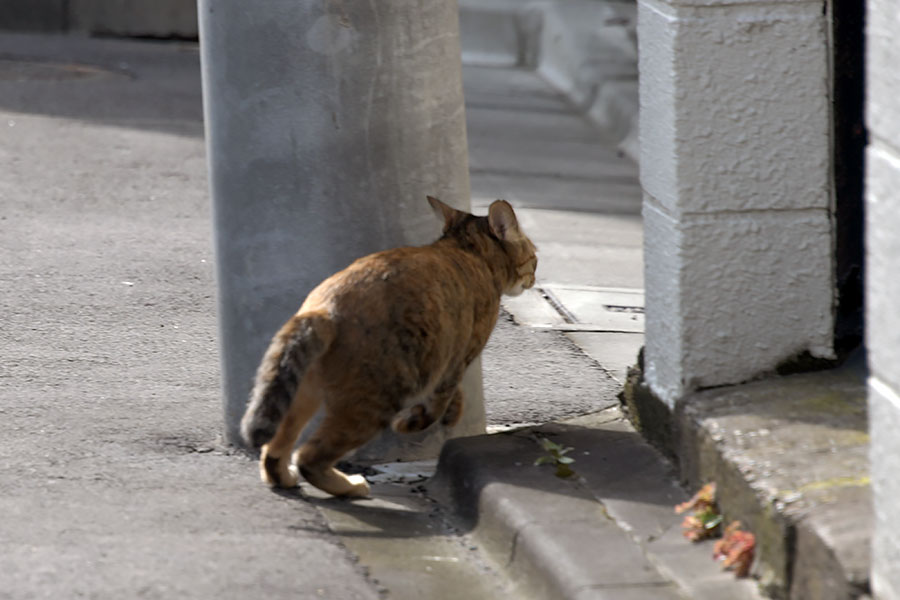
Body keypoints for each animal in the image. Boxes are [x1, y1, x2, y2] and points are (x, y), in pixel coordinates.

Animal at [237, 196, 536, 496]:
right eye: (534, 256)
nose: (533, 277)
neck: (467, 250)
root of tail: (323, 309)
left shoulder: (448, 358)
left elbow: (451, 394)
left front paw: (453, 411)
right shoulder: (458, 357)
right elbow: (439, 400)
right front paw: (416, 421)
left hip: (304, 391)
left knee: (277, 446)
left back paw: (283, 478)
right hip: (375, 400)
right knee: (309, 457)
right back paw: (350, 486)